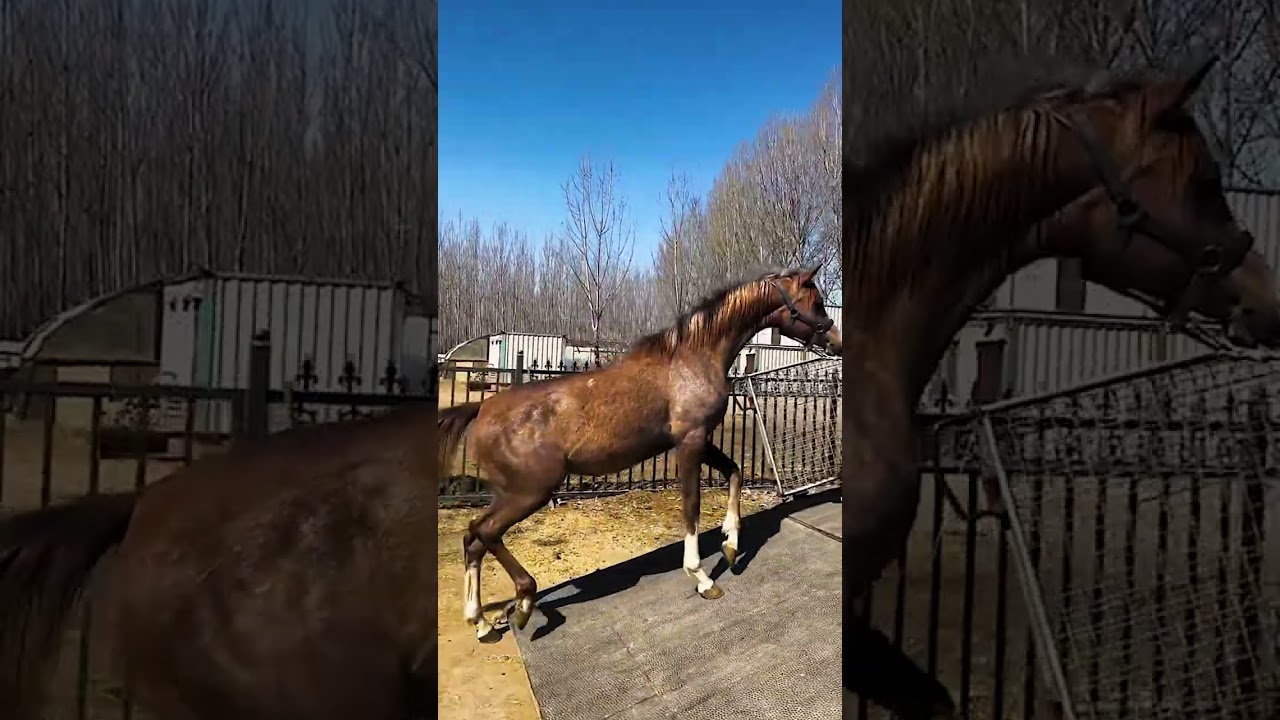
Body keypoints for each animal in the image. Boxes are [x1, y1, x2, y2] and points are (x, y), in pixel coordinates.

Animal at [437, 266, 841, 641]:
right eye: (817, 302)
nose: (835, 340)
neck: (691, 359)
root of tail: (482, 409)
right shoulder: (690, 442)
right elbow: (692, 506)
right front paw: (702, 577)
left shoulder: (698, 440)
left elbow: (736, 472)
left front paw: (730, 543)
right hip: (530, 492)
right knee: (485, 533)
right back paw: (521, 604)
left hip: (511, 493)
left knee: (473, 540)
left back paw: (482, 623)